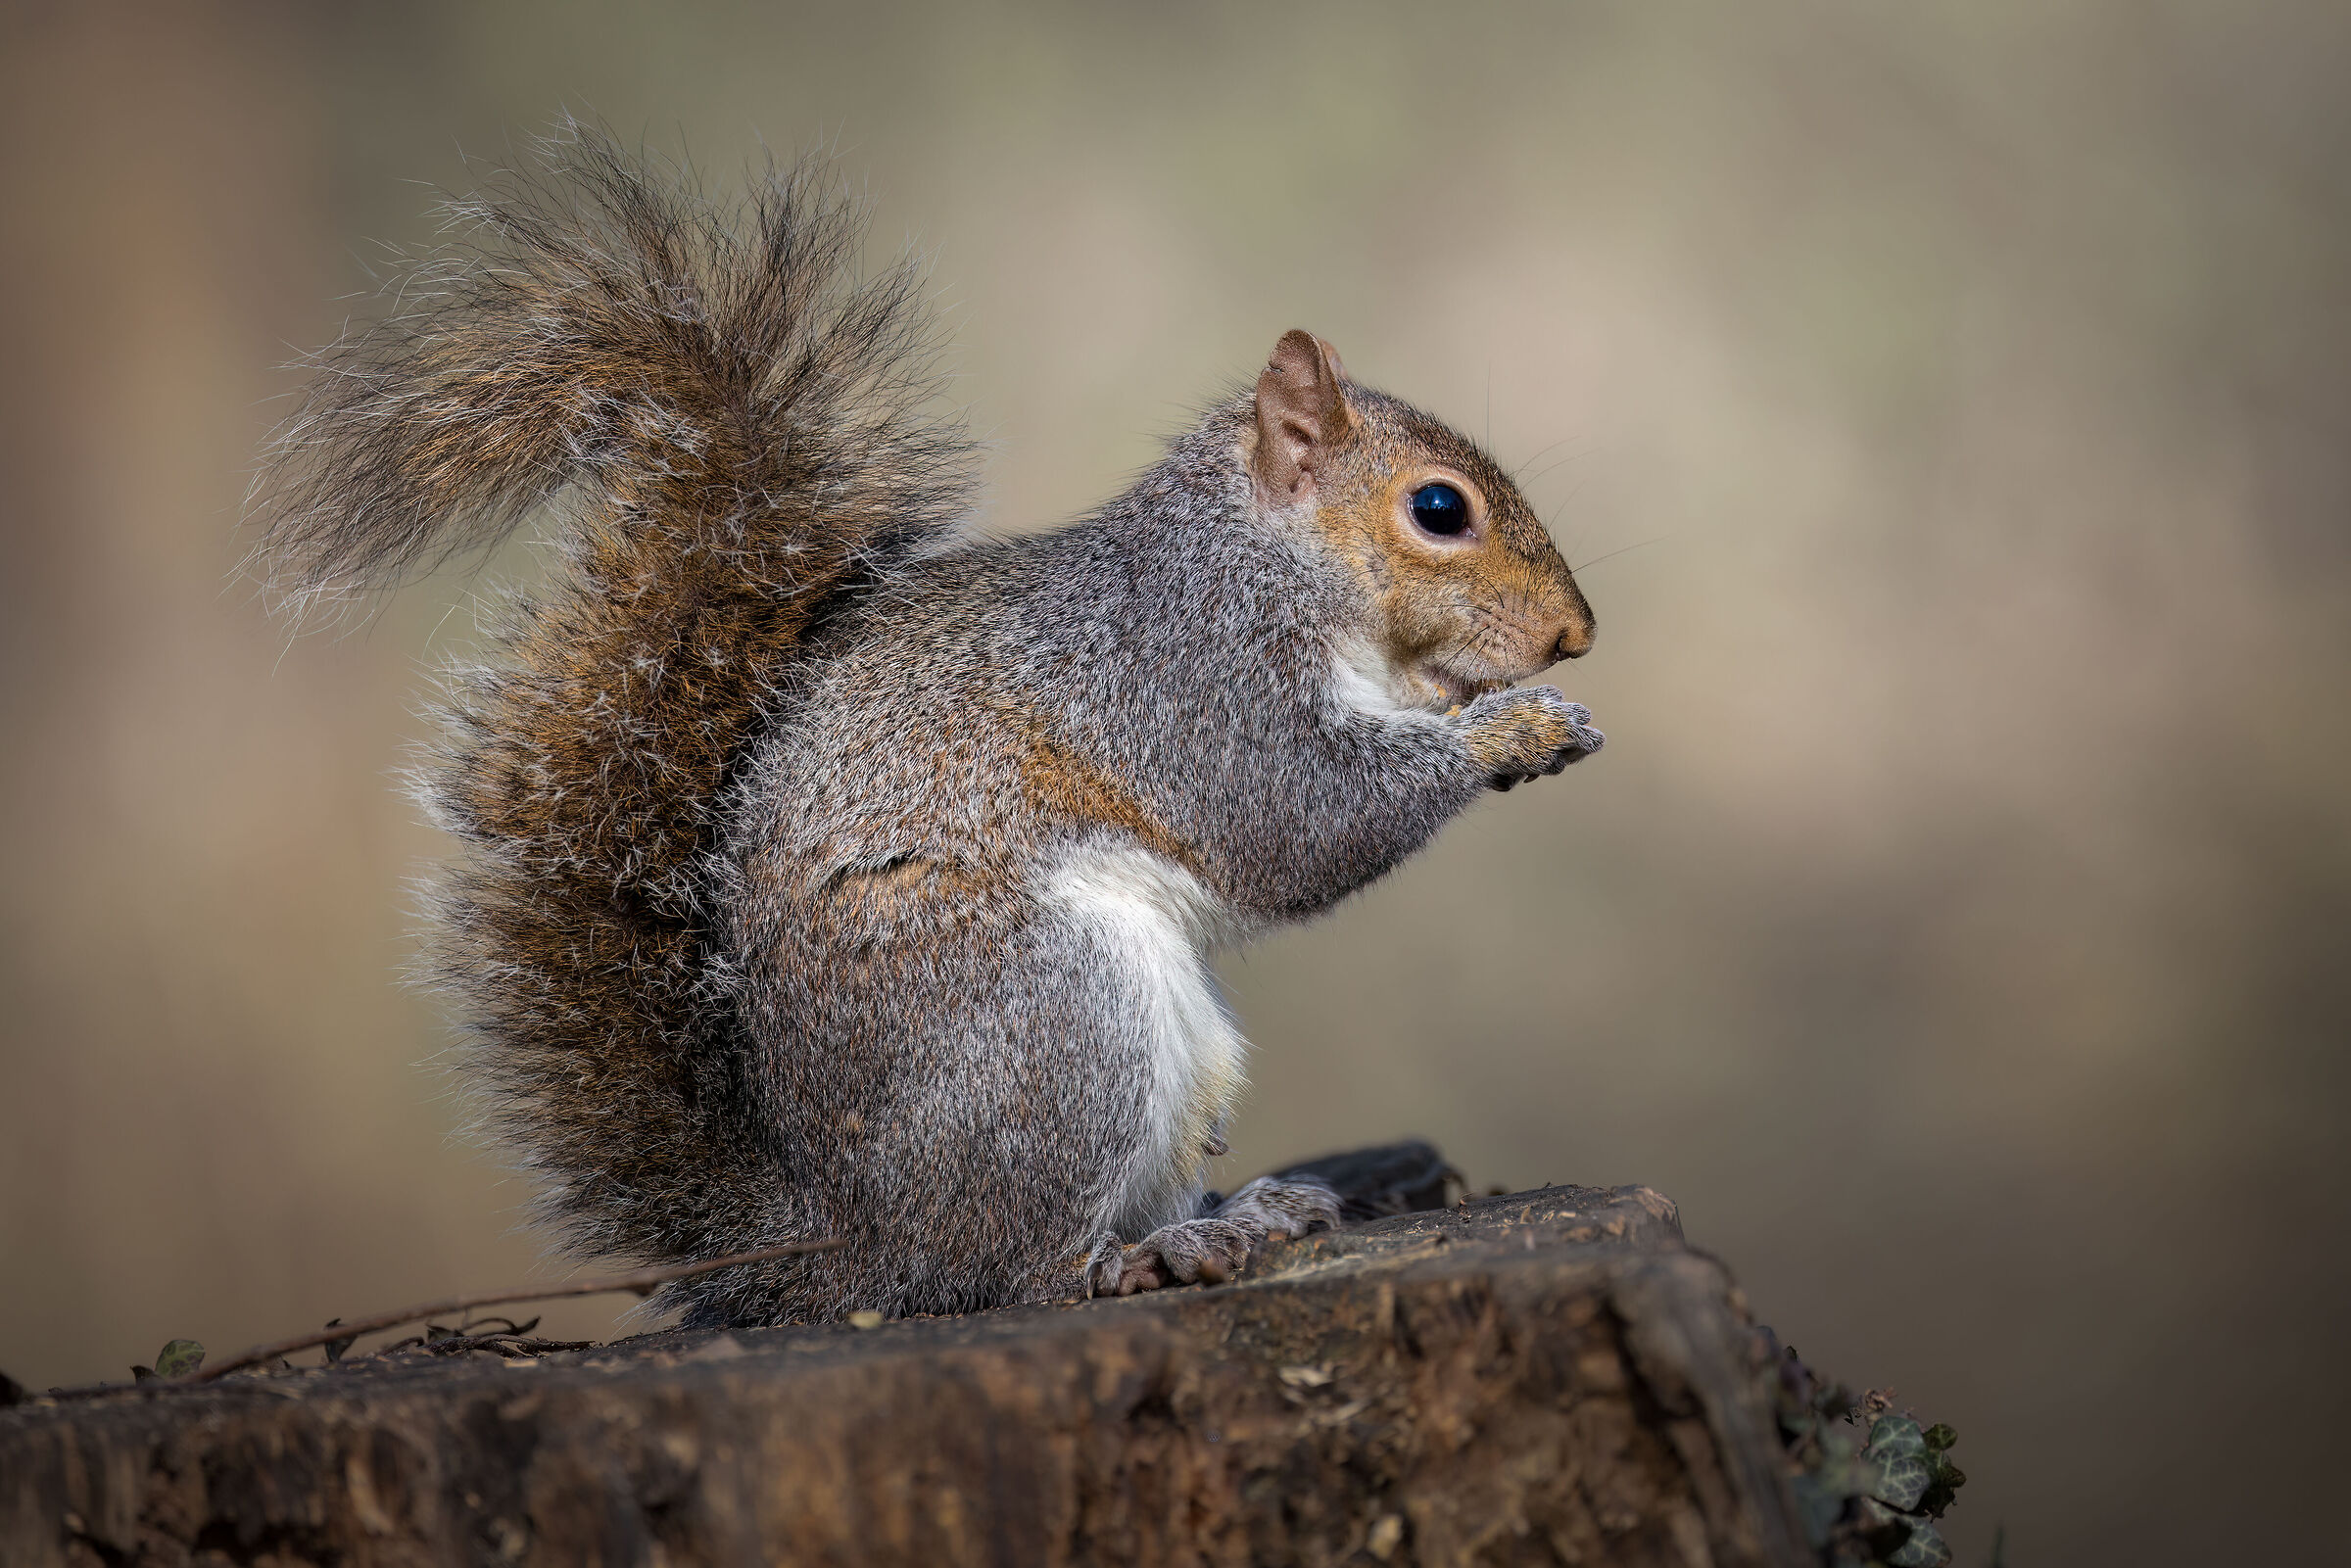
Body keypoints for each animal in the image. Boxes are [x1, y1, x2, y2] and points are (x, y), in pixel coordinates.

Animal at [250, 128, 1602, 1326]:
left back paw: (1240, 1213)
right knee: (1006, 1269)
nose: (1575, 635)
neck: (1263, 565)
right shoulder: (1180, 679)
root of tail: (839, 1241)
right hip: (1045, 1016)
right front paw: (1512, 732)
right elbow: (1295, 821)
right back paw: (1138, 1258)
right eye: (1439, 510)